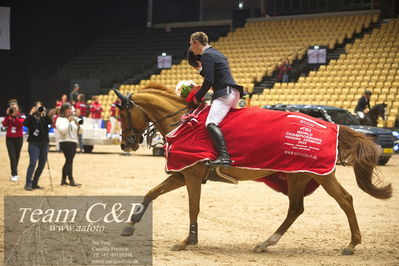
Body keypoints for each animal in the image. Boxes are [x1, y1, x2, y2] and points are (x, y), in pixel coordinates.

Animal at [114, 82, 392, 255]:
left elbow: (194, 207)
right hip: (298, 177)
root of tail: (331, 126)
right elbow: (151, 193)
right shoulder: (183, 174)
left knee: (343, 200)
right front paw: (130, 225)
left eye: (123, 115)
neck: (183, 122)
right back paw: (266, 243)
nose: (126, 144)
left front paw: (187, 241)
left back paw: (352, 244)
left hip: (317, 175)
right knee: (299, 208)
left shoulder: (192, 174)